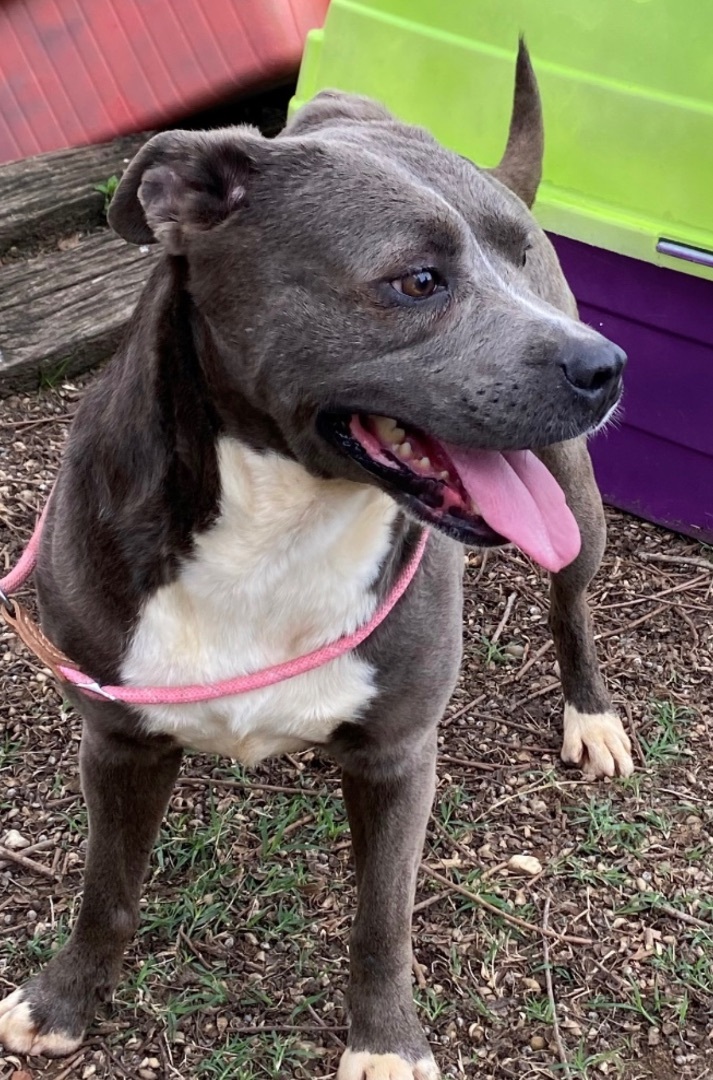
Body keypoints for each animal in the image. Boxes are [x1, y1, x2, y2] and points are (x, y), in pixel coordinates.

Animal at [1, 42, 635, 1080]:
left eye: (514, 255)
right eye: (417, 281)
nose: (606, 366)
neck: (282, 517)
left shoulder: (396, 757)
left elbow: (381, 921)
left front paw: (385, 1045)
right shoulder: (120, 737)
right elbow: (108, 888)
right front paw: (64, 999)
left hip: (575, 504)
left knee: (570, 606)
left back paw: (591, 713)